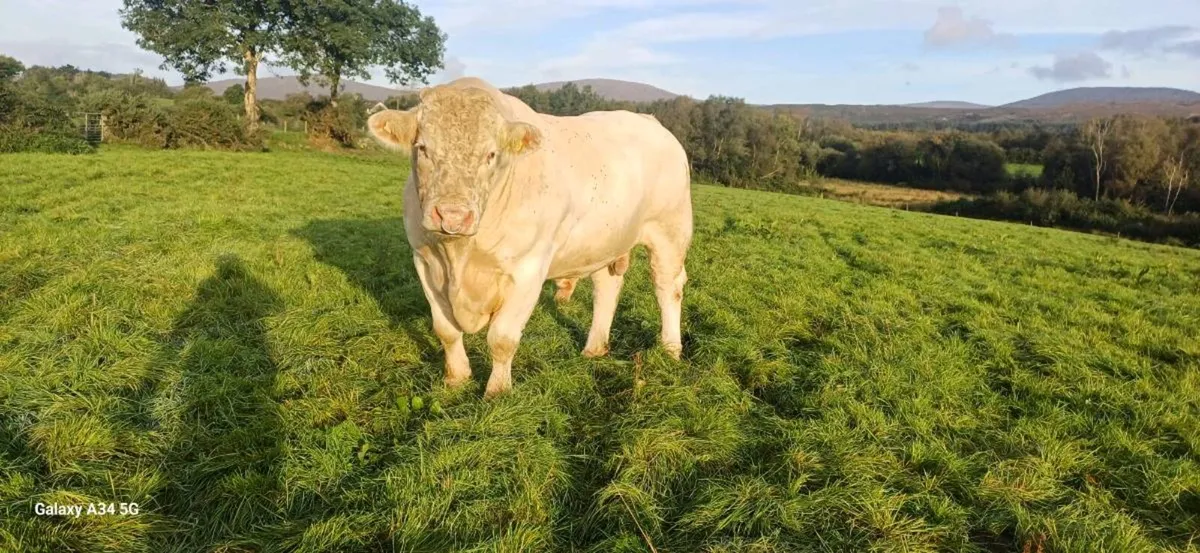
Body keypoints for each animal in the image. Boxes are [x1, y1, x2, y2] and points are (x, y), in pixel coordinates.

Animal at [366, 76, 693, 398]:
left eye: (491, 154)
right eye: (422, 148)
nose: (452, 215)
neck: (460, 254)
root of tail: (649, 120)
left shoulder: (528, 268)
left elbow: (502, 338)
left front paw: (497, 392)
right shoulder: (424, 260)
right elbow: (445, 330)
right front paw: (456, 378)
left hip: (670, 231)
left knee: (668, 287)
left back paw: (670, 349)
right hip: (603, 240)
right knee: (606, 287)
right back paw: (594, 348)